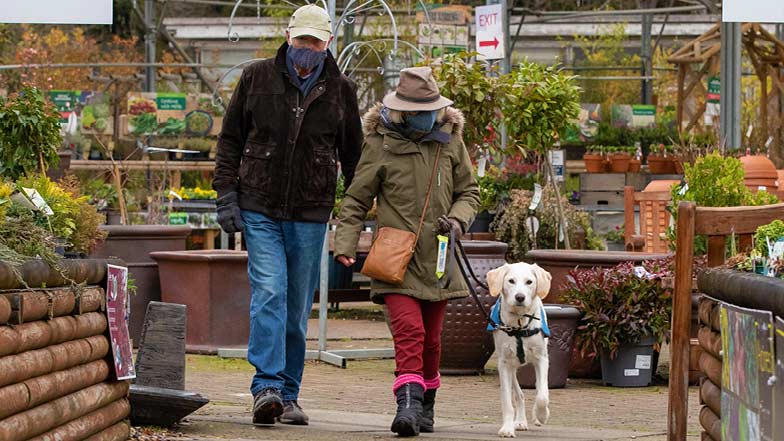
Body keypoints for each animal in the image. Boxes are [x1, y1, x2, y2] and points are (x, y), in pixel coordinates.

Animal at [484, 262, 552, 436]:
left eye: (529, 282)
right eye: (511, 281)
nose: (520, 297)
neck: (520, 323)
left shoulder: (542, 359)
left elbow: (542, 396)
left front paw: (541, 415)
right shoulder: (504, 364)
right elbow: (507, 401)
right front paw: (507, 428)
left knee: (538, 389)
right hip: (512, 368)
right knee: (519, 395)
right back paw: (520, 421)